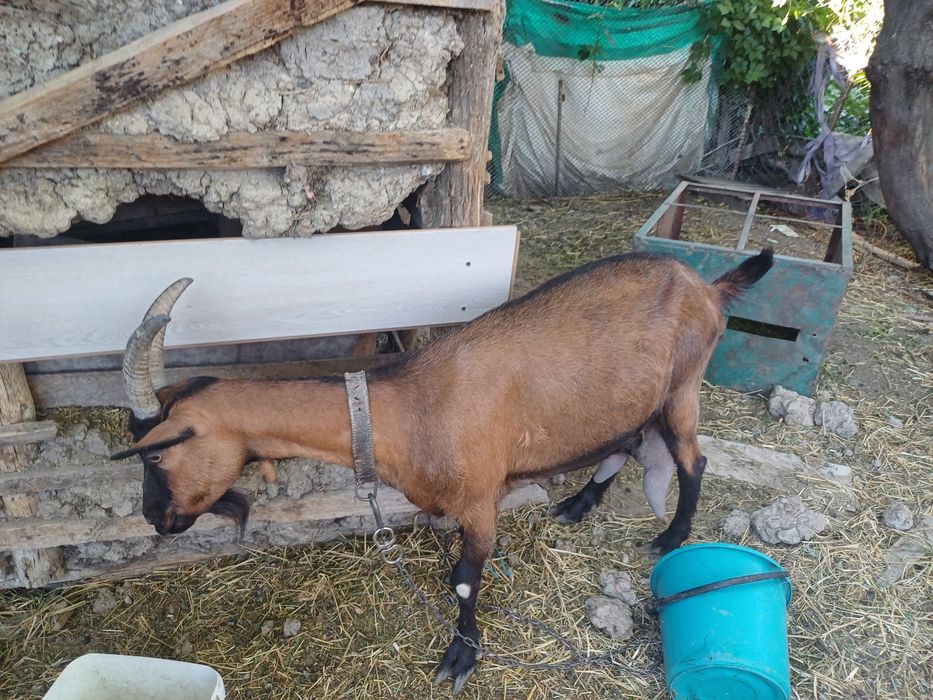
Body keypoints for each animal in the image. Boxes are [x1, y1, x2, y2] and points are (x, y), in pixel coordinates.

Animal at [112, 248, 773, 691]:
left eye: (154, 452)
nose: (154, 517)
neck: (406, 410)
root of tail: (707, 287)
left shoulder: (481, 503)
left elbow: (464, 580)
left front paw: (461, 658)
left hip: (684, 385)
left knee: (693, 460)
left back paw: (670, 536)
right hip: (635, 400)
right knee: (627, 442)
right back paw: (578, 504)